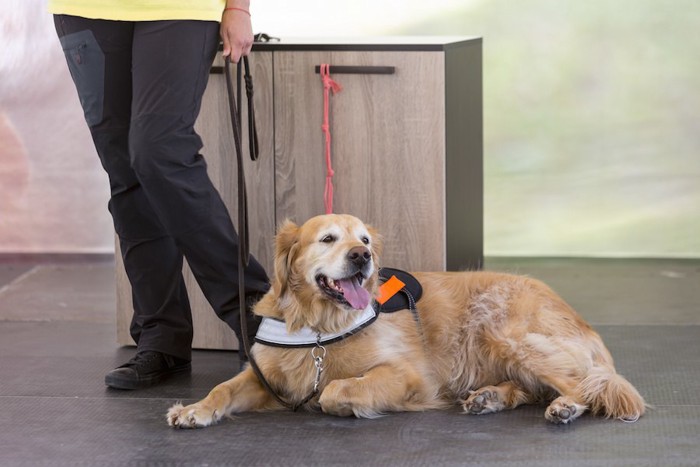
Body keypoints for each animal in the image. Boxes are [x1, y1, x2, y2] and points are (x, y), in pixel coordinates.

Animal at [167, 215, 648, 428]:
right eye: (328, 238)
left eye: (364, 238)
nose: (362, 256)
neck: (321, 326)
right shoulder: (266, 376)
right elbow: (223, 387)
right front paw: (194, 408)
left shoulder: (410, 374)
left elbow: (336, 389)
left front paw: (342, 401)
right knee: (538, 386)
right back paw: (489, 397)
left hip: (500, 328)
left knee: (590, 384)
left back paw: (565, 406)